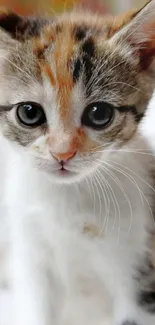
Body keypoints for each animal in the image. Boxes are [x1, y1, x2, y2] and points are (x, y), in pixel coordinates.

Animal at [0, 0, 155, 324]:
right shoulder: (31, 254)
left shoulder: (138, 262)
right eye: (29, 113)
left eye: (99, 114)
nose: (62, 153)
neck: (68, 198)